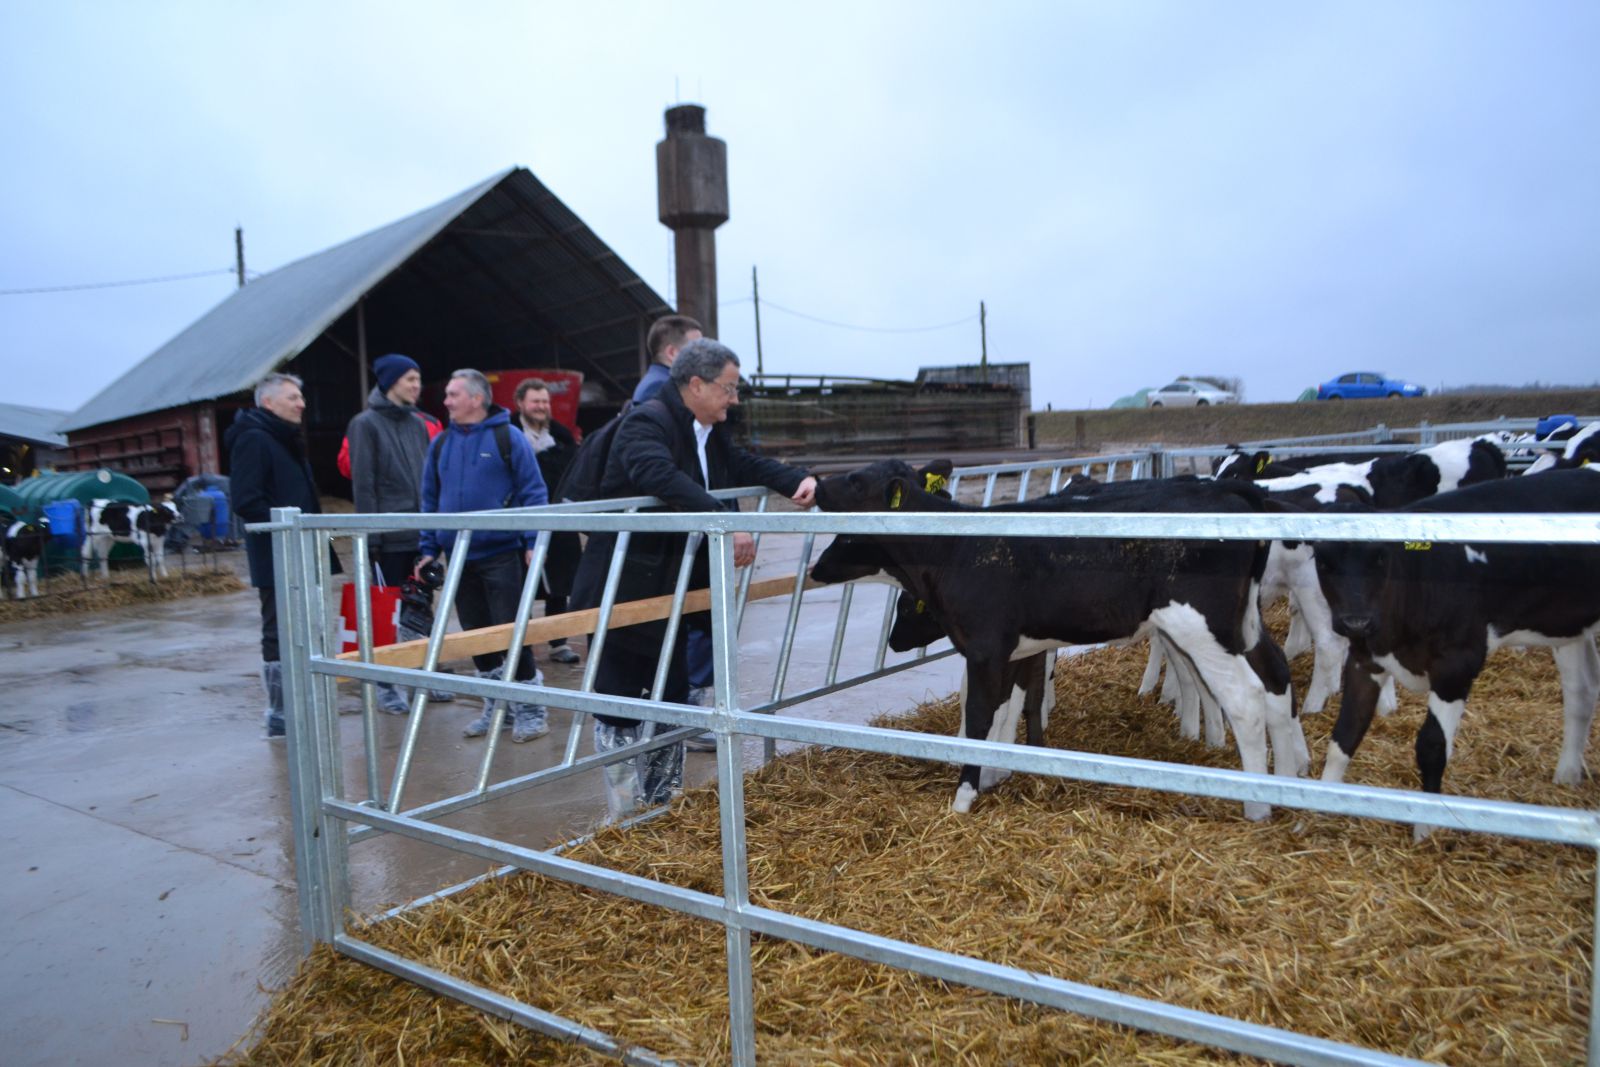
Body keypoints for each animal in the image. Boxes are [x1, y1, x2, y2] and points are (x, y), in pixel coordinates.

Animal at [812, 463, 1299, 825]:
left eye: (855, 481)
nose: (814, 483)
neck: (955, 548)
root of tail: (1231, 493)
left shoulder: (984, 647)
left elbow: (979, 716)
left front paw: (965, 795)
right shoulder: (1011, 647)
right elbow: (1006, 709)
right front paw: (996, 774)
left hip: (1200, 624)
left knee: (1245, 699)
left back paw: (1257, 806)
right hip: (1241, 622)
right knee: (1276, 674)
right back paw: (1291, 780)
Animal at [1312, 463, 1600, 825]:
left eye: (1380, 557)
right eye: (1322, 560)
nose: (1356, 622)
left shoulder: (1457, 666)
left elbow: (1431, 746)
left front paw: (1427, 826)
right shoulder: (1366, 659)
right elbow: (1344, 736)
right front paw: (1319, 808)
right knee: (1581, 691)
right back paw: (1567, 774)